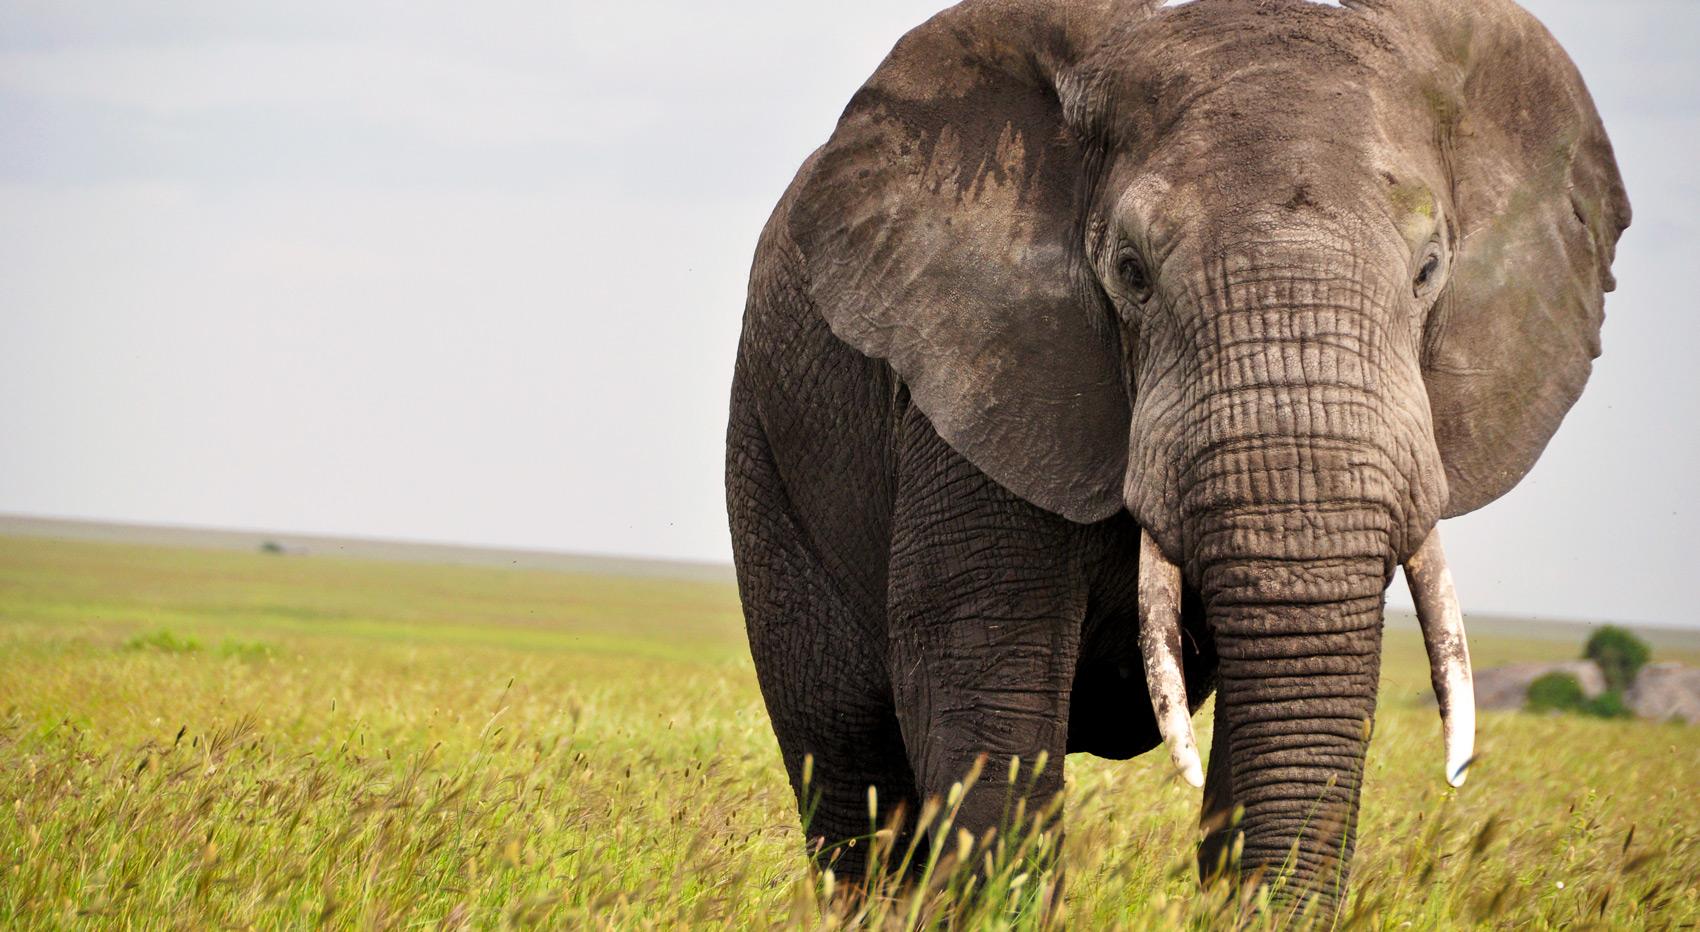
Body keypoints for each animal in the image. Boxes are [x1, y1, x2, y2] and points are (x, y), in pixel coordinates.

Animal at [724, 0, 1628, 903]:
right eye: (1131, 273)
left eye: (1429, 271)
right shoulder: (975, 374)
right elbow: (988, 695)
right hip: (767, 448)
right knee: (850, 763)